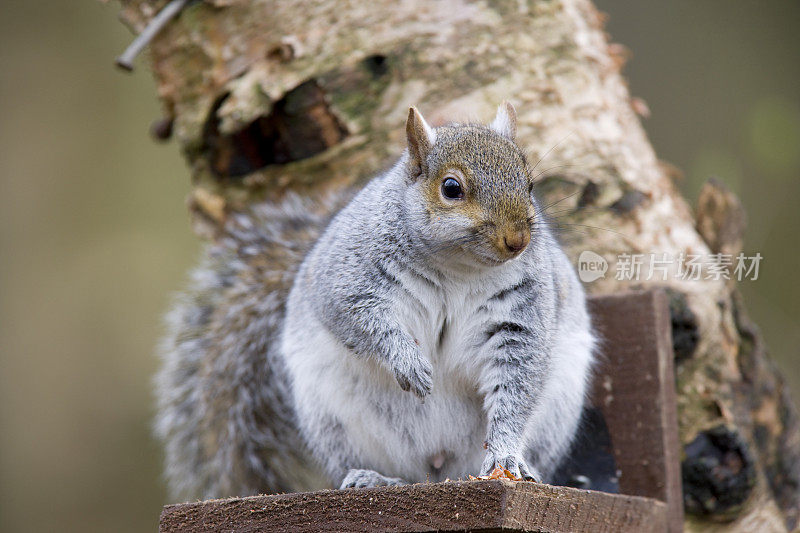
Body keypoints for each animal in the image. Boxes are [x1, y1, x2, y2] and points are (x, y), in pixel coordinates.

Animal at [156, 103, 592, 498]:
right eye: (451, 188)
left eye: (529, 185)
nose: (517, 241)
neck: (457, 268)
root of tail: (439, 470)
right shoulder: (346, 277)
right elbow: (360, 319)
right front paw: (409, 364)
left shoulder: (521, 316)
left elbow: (516, 386)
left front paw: (504, 456)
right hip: (330, 418)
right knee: (383, 470)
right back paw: (373, 478)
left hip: (556, 412)